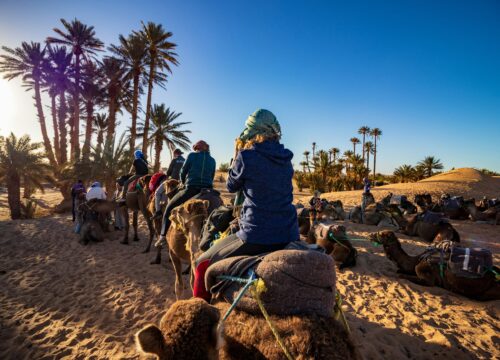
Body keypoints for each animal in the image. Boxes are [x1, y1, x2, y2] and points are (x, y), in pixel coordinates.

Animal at [368, 231, 500, 300]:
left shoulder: (424, 272)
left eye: (381, 234)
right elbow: (399, 271)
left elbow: (403, 275)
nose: (370, 235)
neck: (416, 260)